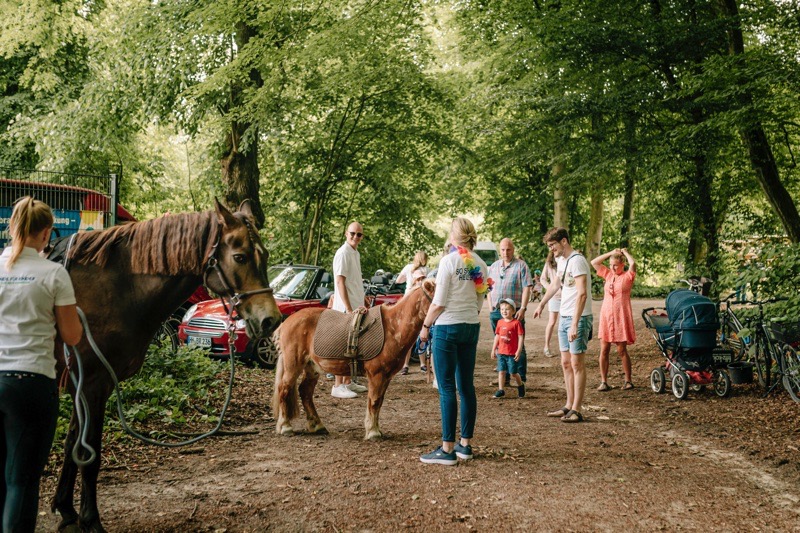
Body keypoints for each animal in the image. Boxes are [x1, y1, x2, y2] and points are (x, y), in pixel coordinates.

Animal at [50, 200, 282, 532]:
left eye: (265, 256)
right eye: (240, 257)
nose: (270, 320)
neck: (114, 288)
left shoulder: (80, 384)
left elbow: (74, 446)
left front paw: (67, 510)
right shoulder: (94, 385)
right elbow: (89, 454)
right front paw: (90, 520)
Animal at [272, 279, 434, 440]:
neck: (393, 327)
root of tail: (286, 323)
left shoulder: (386, 377)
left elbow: (379, 401)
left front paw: (376, 429)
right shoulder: (377, 375)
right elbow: (374, 401)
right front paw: (373, 432)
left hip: (312, 367)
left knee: (305, 392)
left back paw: (317, 425)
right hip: (293, 365)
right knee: (284, 389)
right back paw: (285, 427)